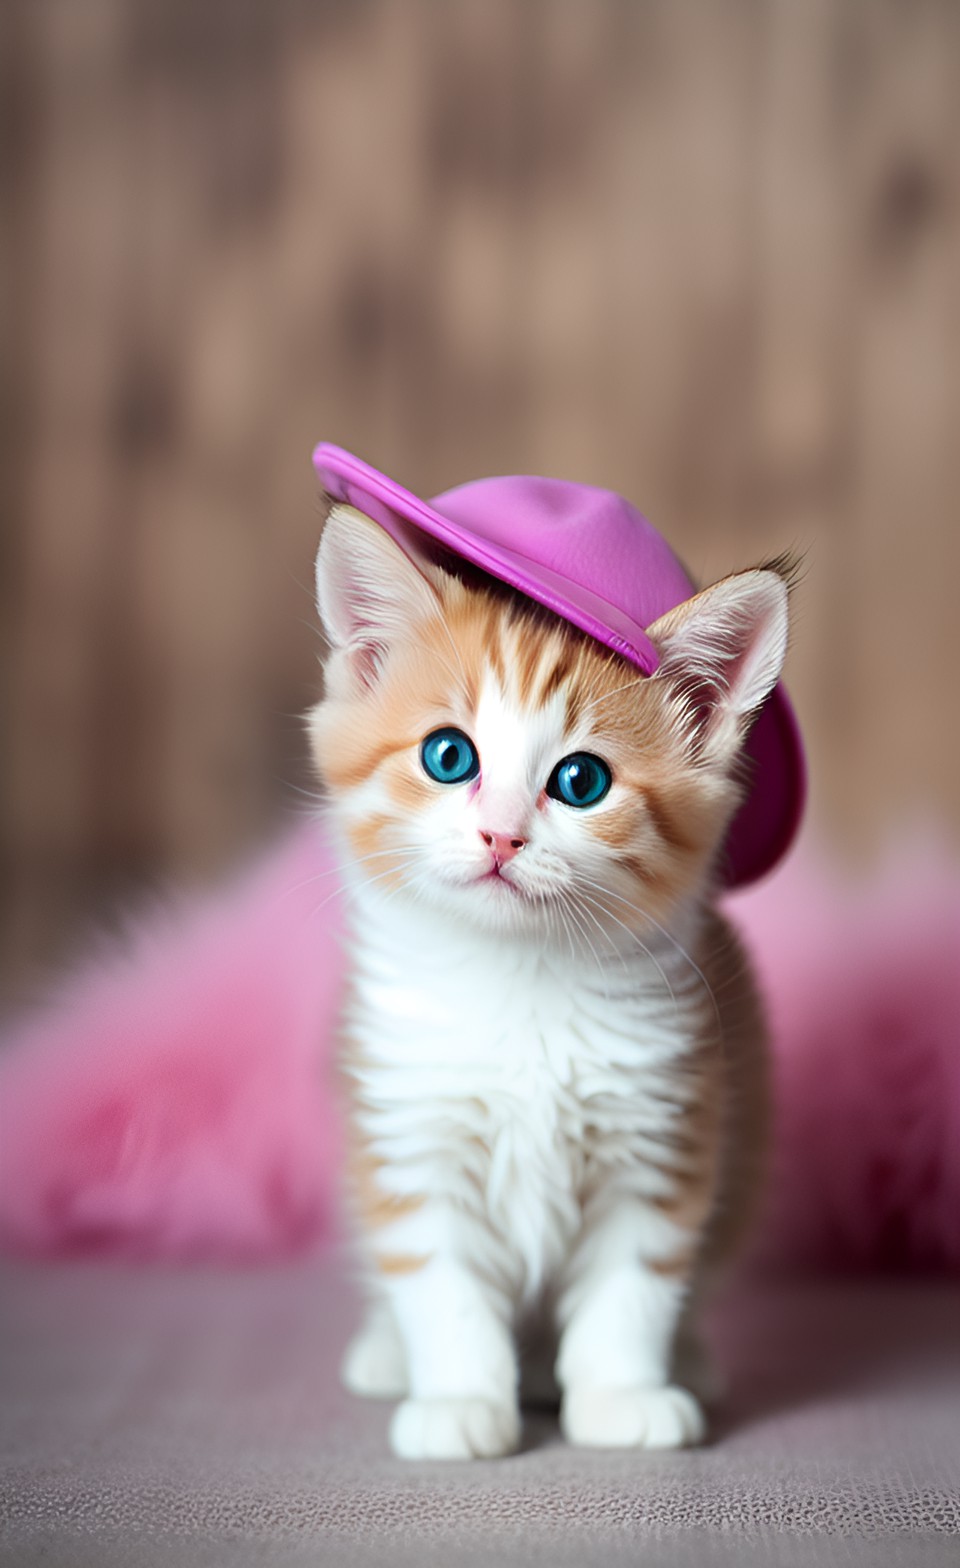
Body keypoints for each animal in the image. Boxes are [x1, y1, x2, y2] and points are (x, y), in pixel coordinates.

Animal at [307, 501, 787, 1455]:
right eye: (449, 758)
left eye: (580, 780)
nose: (501, 835)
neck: (521, 980)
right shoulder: (410, 1134)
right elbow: (440, 1285)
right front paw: (459, 1400)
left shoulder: (662, 1134)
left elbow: (631, 1288)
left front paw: (623, 1395)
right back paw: (391, 1353)